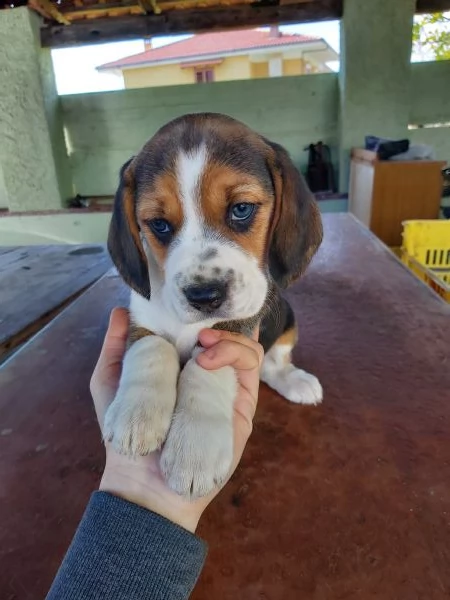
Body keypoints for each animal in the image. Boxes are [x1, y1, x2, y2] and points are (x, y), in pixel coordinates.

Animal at [105, 115, 324, 500]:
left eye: (241, 209)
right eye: (159, 224)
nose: (204, 295)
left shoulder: (238, 328)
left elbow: (206, 366)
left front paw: (196, 450)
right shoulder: (141, 319)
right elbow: (152, 347)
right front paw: (136, 414)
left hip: (288, 319)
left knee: (274, 363)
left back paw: (294, 380)